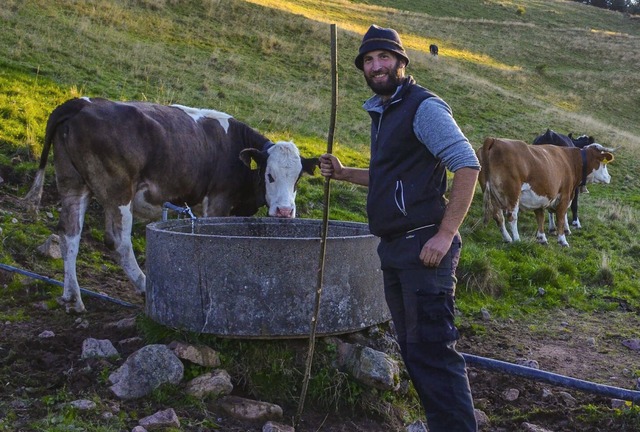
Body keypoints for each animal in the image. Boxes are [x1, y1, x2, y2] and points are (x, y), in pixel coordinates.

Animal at [25, 98, 320, 312]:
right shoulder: (218, 202)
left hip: (72, 184)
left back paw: (73, 298)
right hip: (118, 192)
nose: (285, 211)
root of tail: (80, 103)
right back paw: (145, 286)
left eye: (297, 179)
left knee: (69, 235)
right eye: (269, 175)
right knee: (119, 242)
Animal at [478, 137, 612, 248]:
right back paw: (517, 240)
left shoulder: (538, 196)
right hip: (512, 193)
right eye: (604, 164)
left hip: (492, 193)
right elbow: (560, 218)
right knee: (512, 216)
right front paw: (562, 240)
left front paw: (542, 238)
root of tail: (494, 140)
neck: (571, 161)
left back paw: (507, 238)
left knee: (498, 216)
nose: (609, 177)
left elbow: (540, 217)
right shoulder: (565, 196)